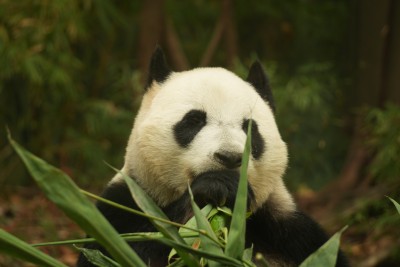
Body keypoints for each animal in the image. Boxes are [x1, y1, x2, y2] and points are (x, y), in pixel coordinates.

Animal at [76, 48, 348, 267]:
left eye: (250, 128)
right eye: (194, 120)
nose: (229, 157)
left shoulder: (287, 231)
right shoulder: (128, 202)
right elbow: (117, 250)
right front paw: (213, 187)